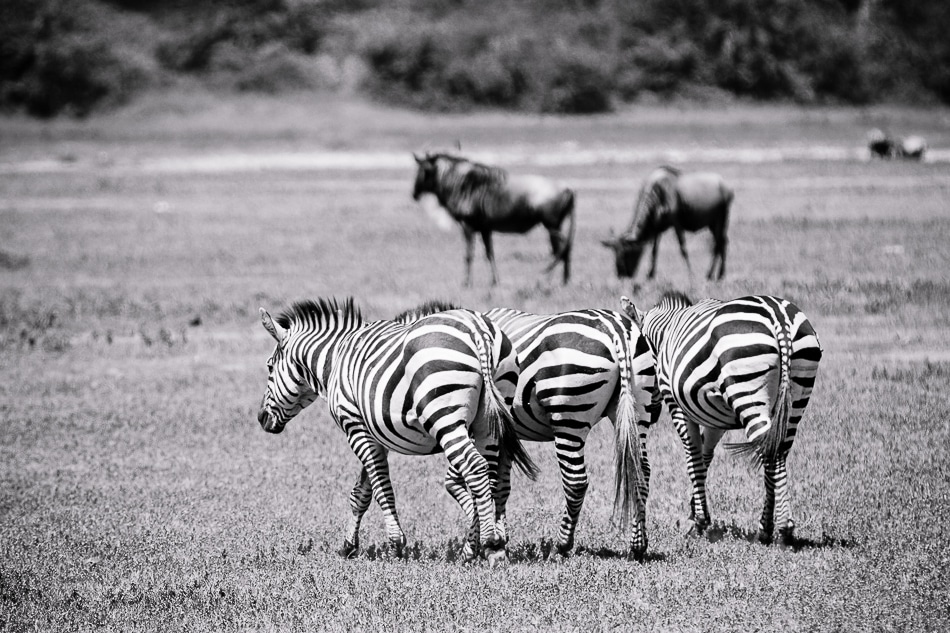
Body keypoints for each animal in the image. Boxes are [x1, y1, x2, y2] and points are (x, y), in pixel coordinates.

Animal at [260, 298, 540, 564]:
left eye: (270, 367)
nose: (261, 419)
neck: (337, 359)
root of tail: (478, 328)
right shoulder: (374, 435)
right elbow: (361, 492)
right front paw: (349, 546)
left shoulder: (355, 426)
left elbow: (382, 487)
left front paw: (395, 545)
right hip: (489, 420)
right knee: (490, 473)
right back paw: (477, 548)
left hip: (445, 415)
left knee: (474, 467)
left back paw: (489, 544)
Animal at [392, 302, 656, 556]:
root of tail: (615, 329)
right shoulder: (504, 437)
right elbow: (499, 485)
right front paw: (499, 538)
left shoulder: (476, 430)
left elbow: (457, 481)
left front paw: (480, 541)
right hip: (638, 407)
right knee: (641, 471)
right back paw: (638, 546)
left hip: (569, 415)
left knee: (576, 481)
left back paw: (561, 546)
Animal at [624, 292, 820, 544]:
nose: (652, 413)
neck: (665, 335)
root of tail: (779, 316)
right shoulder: (714, 416)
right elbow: (704, 457)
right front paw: (695, 510)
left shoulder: (676, 404)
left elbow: (693, 458)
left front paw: (698, 521)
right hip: (796, 397)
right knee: (777, 448)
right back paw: (769, 528)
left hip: (748, 389)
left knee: (770, 452)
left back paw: (779, 529)